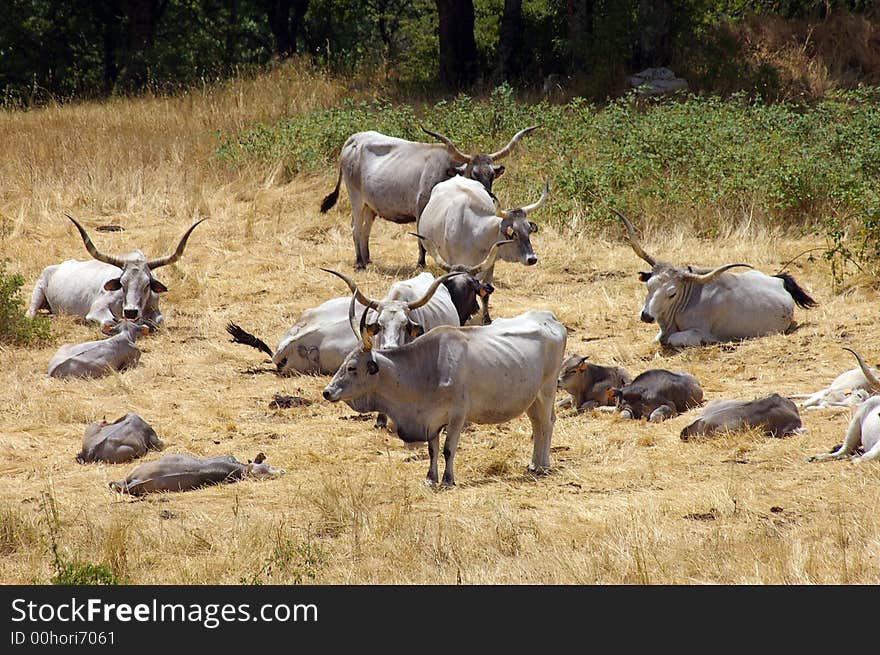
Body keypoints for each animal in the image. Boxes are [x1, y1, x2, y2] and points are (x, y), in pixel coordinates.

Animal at [27, 215, 206, 330]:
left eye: (147, 284)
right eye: (122, 282)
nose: (131, 312)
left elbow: (159, 320)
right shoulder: (97, 309)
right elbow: (109, 322)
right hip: (38, 292)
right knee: (30, 313)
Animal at [318, 125, 536, 270]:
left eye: (491, 175)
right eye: (473, 174)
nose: (487, 196)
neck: (448, 171)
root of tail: (352, 139)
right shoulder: (421, 207)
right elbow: (421, 239)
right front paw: (421, 263)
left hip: (370, 206)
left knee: (365, 230)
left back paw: (367, 259)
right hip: (355, 197)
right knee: (356, 227)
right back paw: (358, 263)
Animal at [612, 210, 820, 348]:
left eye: (672, 294)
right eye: (649, 286)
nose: (646, 316)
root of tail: (778, 281)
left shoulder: (699, 334)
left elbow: (670, 339)